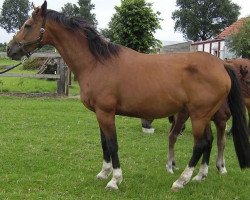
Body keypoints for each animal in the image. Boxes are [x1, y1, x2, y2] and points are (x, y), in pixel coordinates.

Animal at [6, 1, 250, 192]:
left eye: (27, 25)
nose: (10, 49)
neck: (97, 62)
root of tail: (221, 64)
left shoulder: (106, 113)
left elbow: (112, 144)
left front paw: (115, 180)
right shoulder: (99, 114)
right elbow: (104, 143)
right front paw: (103, 173)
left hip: (199, 115)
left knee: (201, 144)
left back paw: (181, 180)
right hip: (203, 115)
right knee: (209, 141)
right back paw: (200, 176)